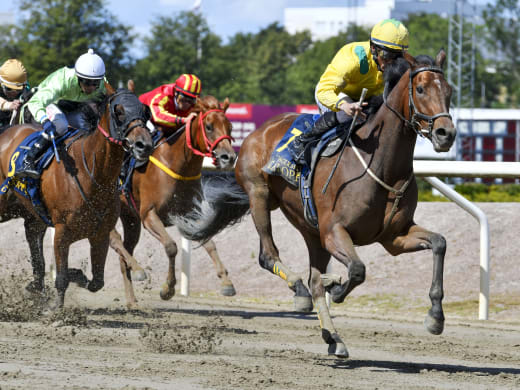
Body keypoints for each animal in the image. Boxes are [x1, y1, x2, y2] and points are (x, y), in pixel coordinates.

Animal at [0, 84, 154, 310]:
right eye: (118, 111)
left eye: (145, 111)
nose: (144, 145)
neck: (91, 172)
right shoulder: (62, 231)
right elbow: (62, 277)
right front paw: (56, 307)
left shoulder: (100, 233)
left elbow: (97, 282)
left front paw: (78, 275)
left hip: (33, 216)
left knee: (35, 244)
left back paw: (36, 285)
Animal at [109, 94, 236, 308]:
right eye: (209, 126)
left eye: (230, 126)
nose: (229, 157)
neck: (178, 166)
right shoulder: (149, 215)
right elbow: (171, 247)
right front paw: (167, 288)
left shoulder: (190, 214)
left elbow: (208, 241)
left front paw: (227, 282)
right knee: (113, 239)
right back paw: (138, 273)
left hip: (131, 219)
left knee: (123, 253)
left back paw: (132, 299)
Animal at [178, 50, 456, 358]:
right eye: (420, 89)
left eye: (449, 91)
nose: (446, 134)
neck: (382, 166)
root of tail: (256, 132)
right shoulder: (334, 231)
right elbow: (357, 270)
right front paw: (336, 288)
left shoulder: (394, 236)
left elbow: (439, 243)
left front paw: (435, 317)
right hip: (260, 195)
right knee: (270, 257)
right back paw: (302, 291)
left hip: (310, 230)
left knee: (313, 278)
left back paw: (334, 337)